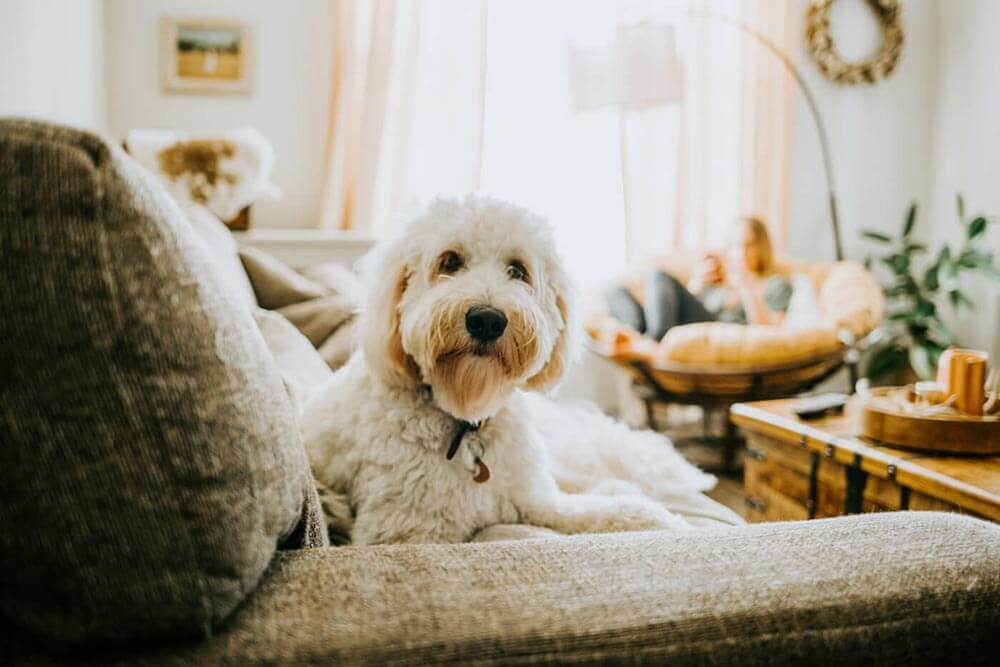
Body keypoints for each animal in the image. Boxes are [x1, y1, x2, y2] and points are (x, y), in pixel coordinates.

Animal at [298, 196, 736, 544]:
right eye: (449, 262)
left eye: (518, 270)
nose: (487, 320)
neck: (468, 420)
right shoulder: (408, 535)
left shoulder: (538, 500)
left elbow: (619, 512)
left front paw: (666, 522)